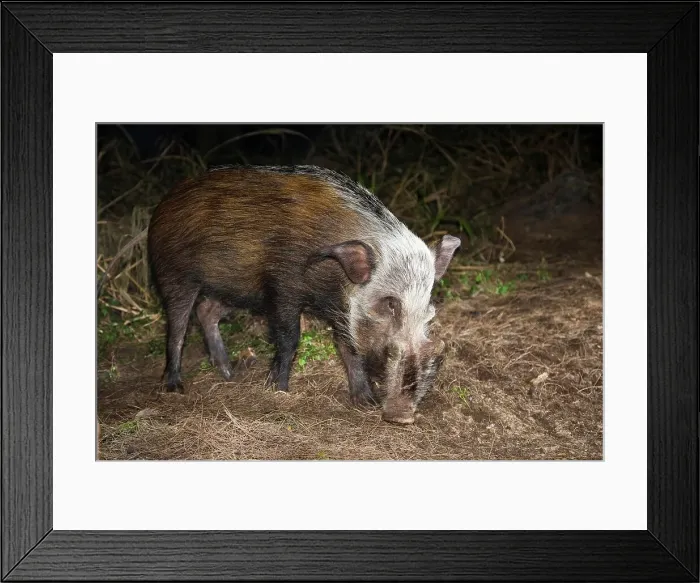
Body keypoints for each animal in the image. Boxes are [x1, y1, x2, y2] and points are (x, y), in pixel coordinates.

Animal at [147, 165, 460, 423]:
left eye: (429, 311)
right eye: (391, 304)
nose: (402, 417)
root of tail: (164, 202)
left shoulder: (340, 307)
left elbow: (347, 347)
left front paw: (365, 402)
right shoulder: (283, 287)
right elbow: (289, 339)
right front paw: (278, 390)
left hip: (238, 290)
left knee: (206, 310)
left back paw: (229, 373)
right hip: (174, 274)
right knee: (178, 326)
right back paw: (175, 386)